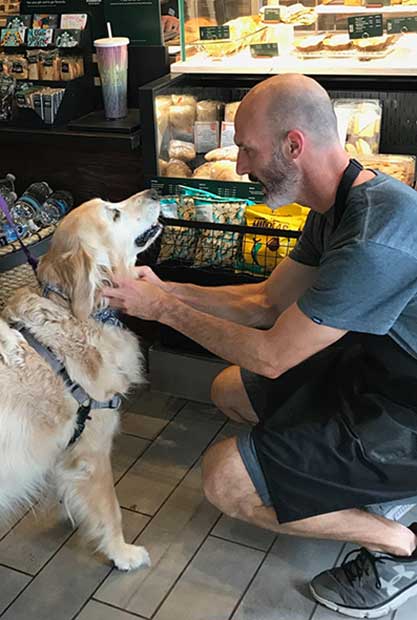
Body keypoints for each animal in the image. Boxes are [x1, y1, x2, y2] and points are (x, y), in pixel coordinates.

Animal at [0, 190, 161, 572]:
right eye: (114, 213)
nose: (156, 192)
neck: (77, 315)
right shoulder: (93, 448)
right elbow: (112, 509)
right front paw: (122, 553)